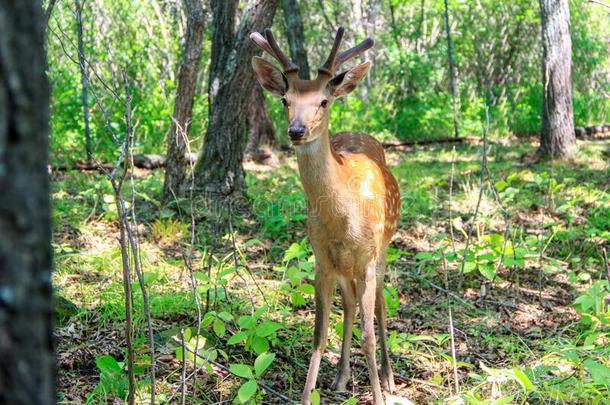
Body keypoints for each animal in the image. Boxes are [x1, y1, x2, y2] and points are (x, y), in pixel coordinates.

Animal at [248, 26, 400, 402]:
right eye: (285, 100)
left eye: (323, 101)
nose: (296, 130)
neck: (343, 221)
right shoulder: (322, 261)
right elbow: (318, 334)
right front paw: (310, 392)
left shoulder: (367, 259)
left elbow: (368, 334)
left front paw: (378, 395)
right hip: (346, 269)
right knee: (349, 305)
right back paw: (342, 377)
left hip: (383, 249)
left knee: (381, 305)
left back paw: (389, 377)